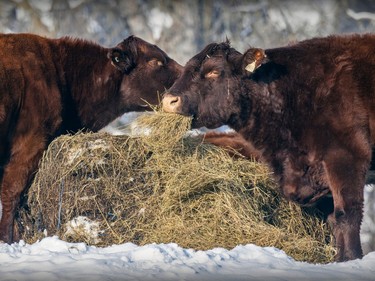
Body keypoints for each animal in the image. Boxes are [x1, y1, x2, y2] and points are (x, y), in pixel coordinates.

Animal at [163, 34, 375, 260]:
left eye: (214, 71)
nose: (168, 101)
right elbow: (332, 220)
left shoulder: (347, 157)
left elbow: (346, 215)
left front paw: (350, 259)